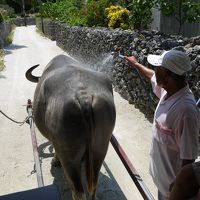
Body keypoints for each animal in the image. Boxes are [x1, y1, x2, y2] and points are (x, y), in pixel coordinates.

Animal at [25, 54, 115, 200]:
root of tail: (84, 96)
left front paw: (55, 161)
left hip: (68, 155)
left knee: (78, 191)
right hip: (100, 148)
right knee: (93, 185)